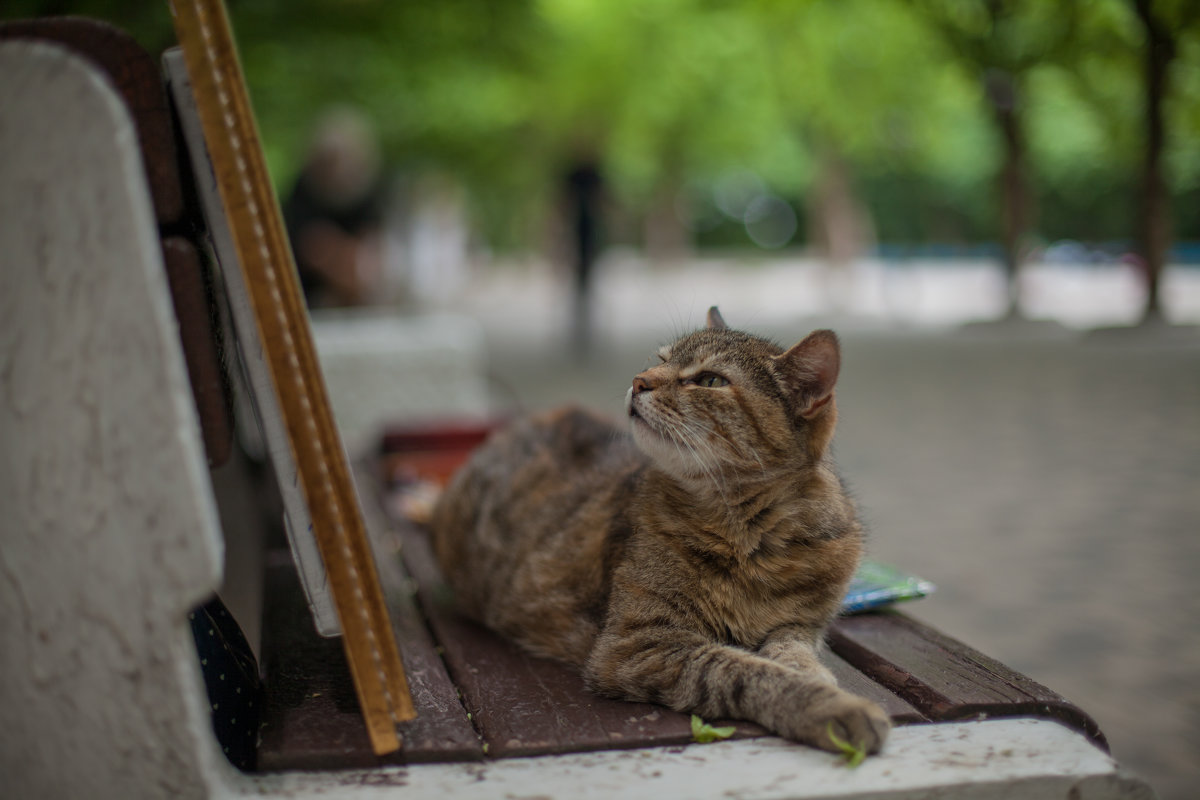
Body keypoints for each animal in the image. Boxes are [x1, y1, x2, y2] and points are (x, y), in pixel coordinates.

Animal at [432, 309, 892, 758]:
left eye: (710, 381)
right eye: (660, 359)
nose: (639, 380)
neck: (752, 536)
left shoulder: (802, 625)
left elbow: (791, 651)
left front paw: (813, 675)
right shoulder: (638, 646)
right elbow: (743, 670)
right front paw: (830, 706)